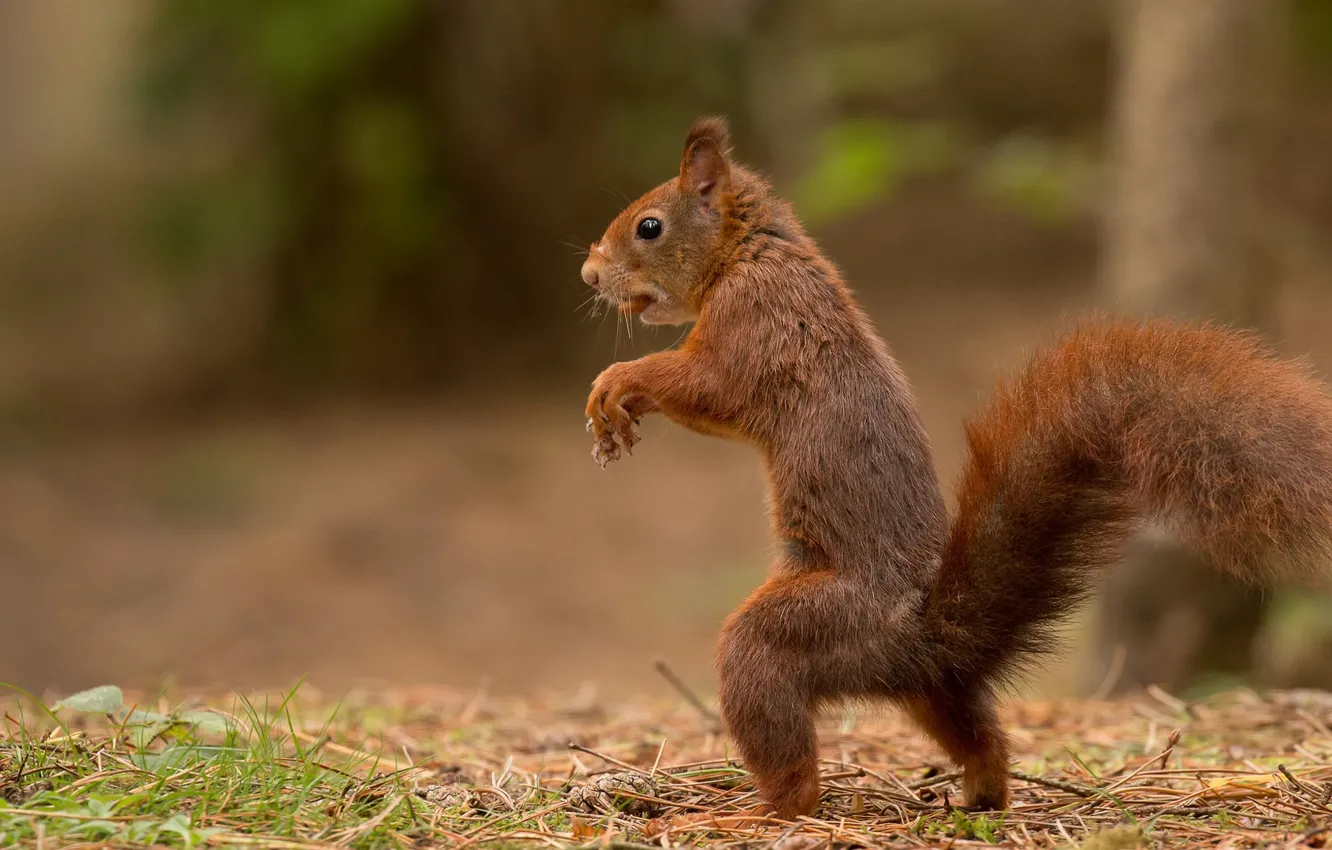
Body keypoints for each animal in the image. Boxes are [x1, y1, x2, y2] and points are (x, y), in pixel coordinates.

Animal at [578, 116, 1332, 820]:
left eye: (649, 227)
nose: (588, 274)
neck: (753, 252)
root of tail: (926, 633)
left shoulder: (754, 325)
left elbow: (705, 386)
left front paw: (615, 386)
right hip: (926, 691)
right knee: (979, 732)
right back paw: (981, 795)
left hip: (803, 635)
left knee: (785, 741)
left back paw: (765, 809)